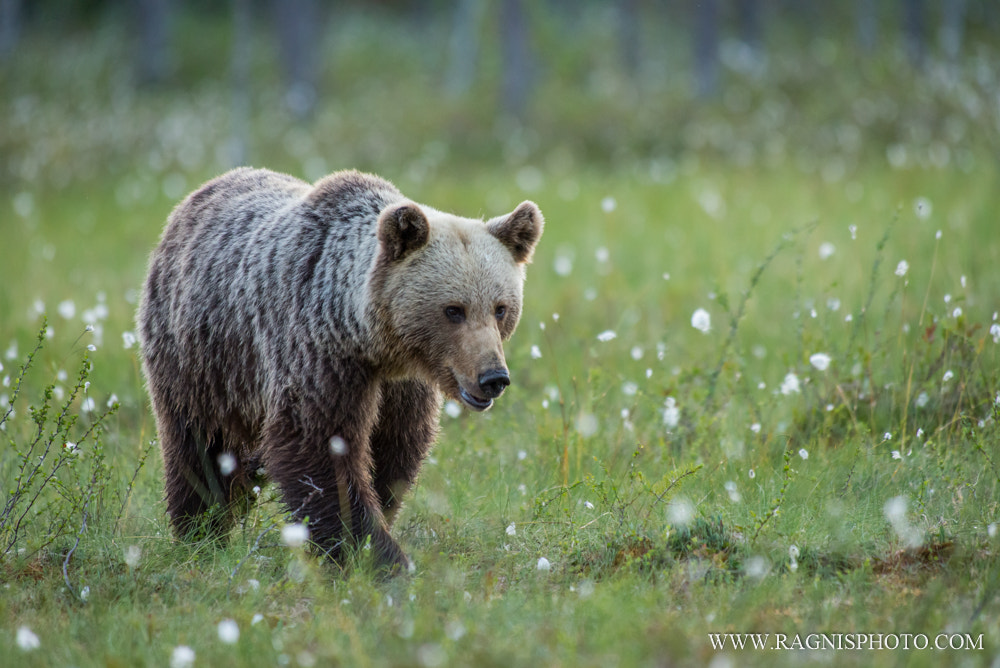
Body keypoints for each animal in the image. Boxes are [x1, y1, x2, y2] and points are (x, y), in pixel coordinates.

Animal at [137, 167, 543, 572]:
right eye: (454, 310)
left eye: (500, 308)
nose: (492, 377)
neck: (369, 339)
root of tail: (196, 197)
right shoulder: (318, 356)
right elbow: (320, 449)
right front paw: (378, 556)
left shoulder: (402, 387)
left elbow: (395, 450)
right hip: (202, 356)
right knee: (199, 444)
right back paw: (201, 533)